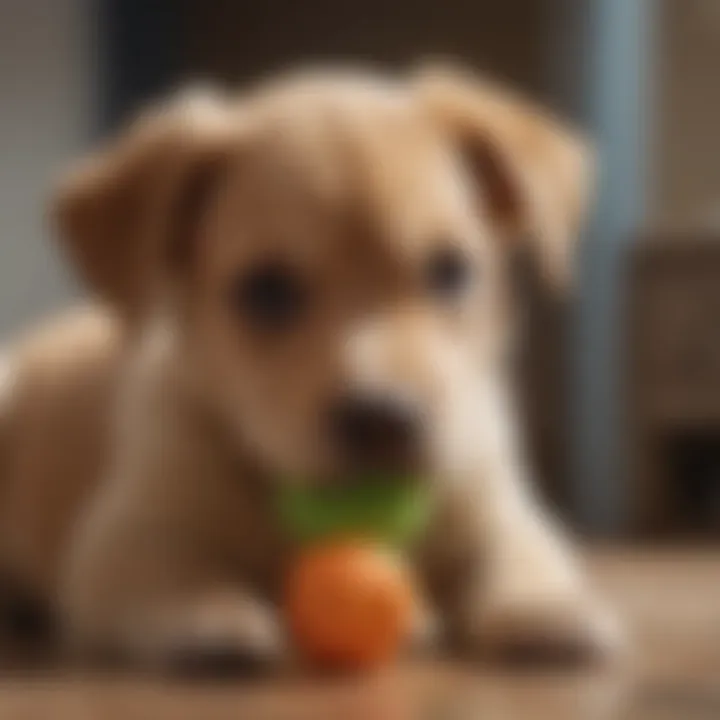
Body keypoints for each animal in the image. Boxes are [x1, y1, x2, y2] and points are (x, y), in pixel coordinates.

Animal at [0, 66, 620, 668]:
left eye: (450, 270)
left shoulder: (501, 512)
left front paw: (546, 606)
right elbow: (176, 573)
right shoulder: (125, 535)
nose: (383, 419)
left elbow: (520, 560)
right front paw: (210, 614)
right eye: (267, 290)